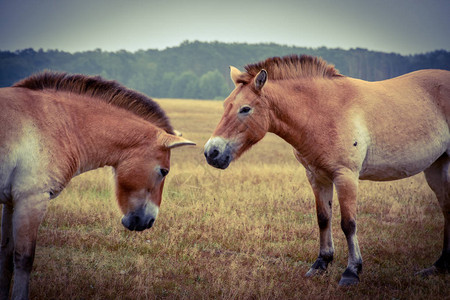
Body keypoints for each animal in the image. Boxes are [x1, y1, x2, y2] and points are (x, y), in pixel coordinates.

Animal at [0, 72, 194, 298]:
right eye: (164, 171)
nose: (149, 221)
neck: (60, 123)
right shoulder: (31, 200)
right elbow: (24, 258)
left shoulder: (11, 202)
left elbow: (6, 257)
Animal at [205, 55, 450, 286]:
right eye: (225, 104)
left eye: (245, 109)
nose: (211, 152)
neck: (322, 111)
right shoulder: (317, 176)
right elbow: (323, 218)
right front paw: (320, 264)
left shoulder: (345, 176)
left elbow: (348, 224)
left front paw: (352, 272)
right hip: (437, 167)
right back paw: (438, 267)